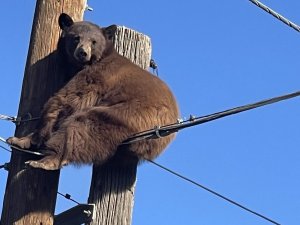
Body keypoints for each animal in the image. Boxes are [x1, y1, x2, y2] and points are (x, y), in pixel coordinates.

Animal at [7, 12, 179, 171]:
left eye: (93, 41)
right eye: (76, 38)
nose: (82, 53)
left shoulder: (96, 76)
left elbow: (68, 100)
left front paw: (27, 139)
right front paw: (17, 140)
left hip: (133, 114)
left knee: (83, 126)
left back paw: (47, 160)